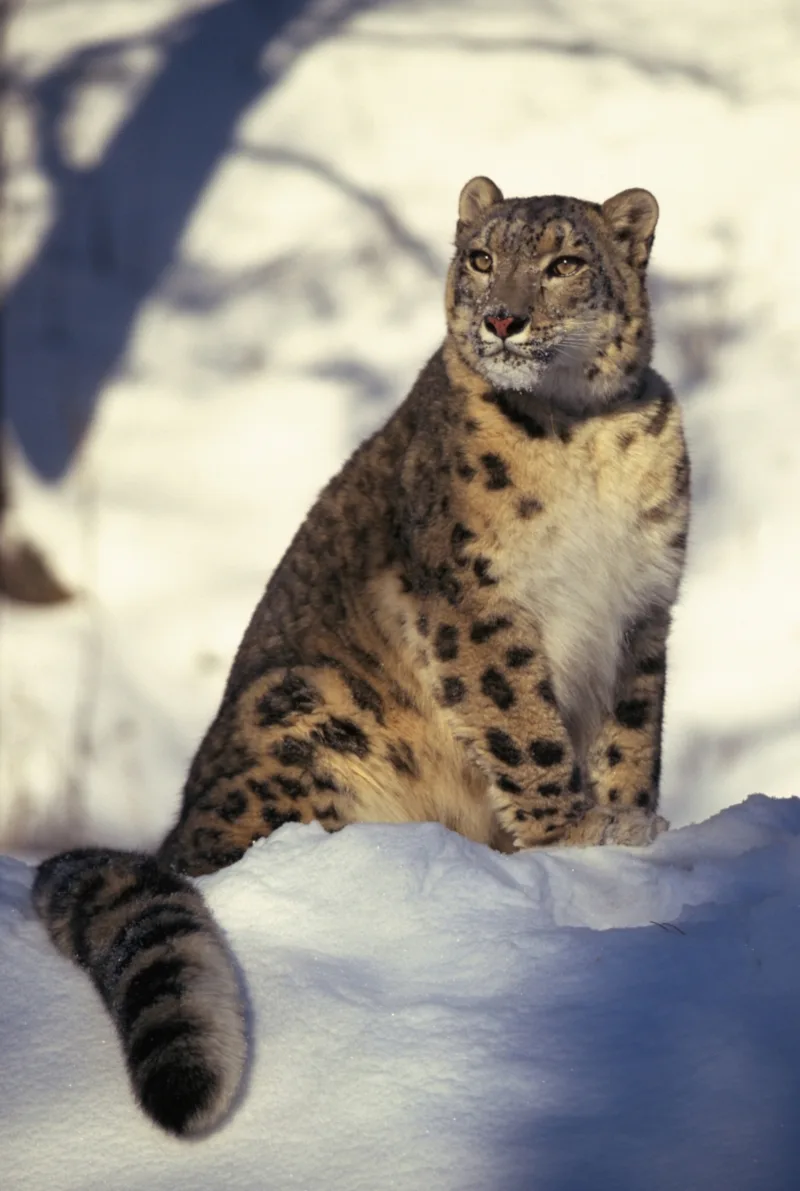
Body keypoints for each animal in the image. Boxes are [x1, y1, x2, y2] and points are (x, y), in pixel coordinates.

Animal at [33, 175, 690, 1139]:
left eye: (565, 262)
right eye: (481, 256)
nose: (501, 318)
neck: (583, 435)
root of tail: (178, 830)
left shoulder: (643, 612)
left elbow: (632, 736)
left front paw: (630, 821)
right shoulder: (474, 604)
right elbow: (524, 724)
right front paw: (572, 832)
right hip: (310, 706)